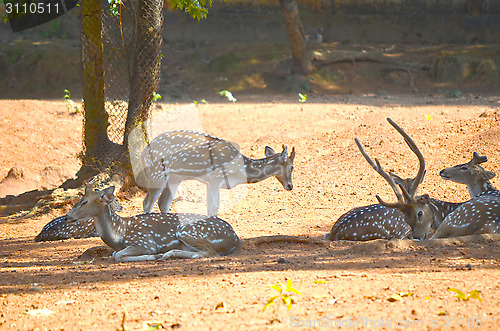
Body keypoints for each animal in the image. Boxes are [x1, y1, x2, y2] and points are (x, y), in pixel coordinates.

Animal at [65, 180, 241, 264]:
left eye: (84, 202)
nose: (67, 217)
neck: (119, 234)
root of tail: (234, 238)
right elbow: (115, 254)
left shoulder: (144, 242)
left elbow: (118, 255)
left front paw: (152, 256)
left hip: (187, 231)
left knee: (209, 252)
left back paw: (167, 254)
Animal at [137, 130, 294, 218]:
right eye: (292, 167)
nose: (290, 186)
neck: (238, 171)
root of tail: (142, 153)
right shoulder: (215, 178)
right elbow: (213, 207)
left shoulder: (211, 182)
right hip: (157, 173)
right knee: (147, 202)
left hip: (175, 178)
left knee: (163, 202)